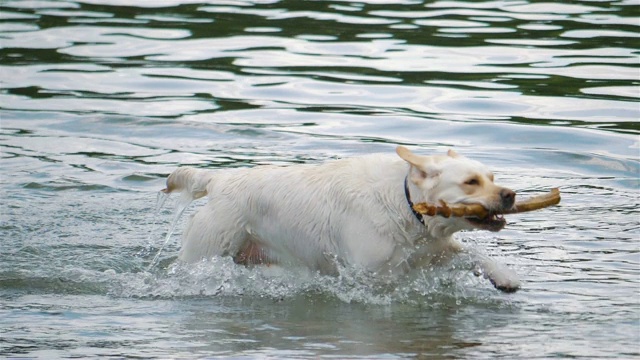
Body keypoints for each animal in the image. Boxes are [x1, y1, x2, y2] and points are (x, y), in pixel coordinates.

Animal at [162, 146, 524, 292]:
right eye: (470, 182)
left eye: (492, 177)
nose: (510, 194)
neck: (406, 205)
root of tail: (217, 179)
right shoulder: (373, 275)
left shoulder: (433, 247)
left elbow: (474, 253)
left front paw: (504, 277)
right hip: (206, 249)